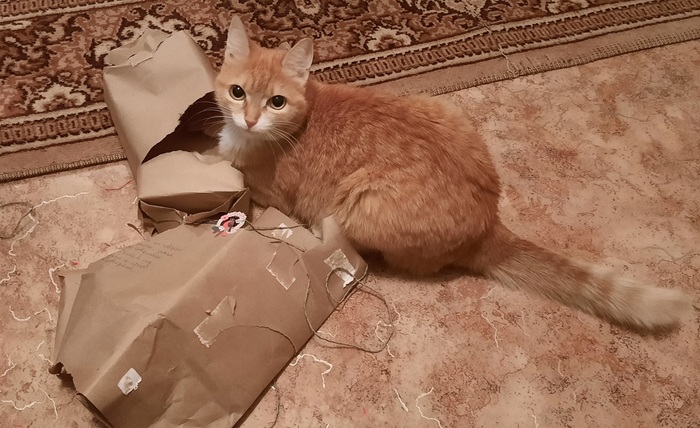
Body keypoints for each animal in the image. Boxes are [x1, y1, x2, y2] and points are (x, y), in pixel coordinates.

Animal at [215, 16, 691, 330]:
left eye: (276, 102)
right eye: (237, 92)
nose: (250, 120)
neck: (299, 119)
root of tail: (488, 225)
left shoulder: (268, 191)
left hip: (362, 206)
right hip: (445, 109)